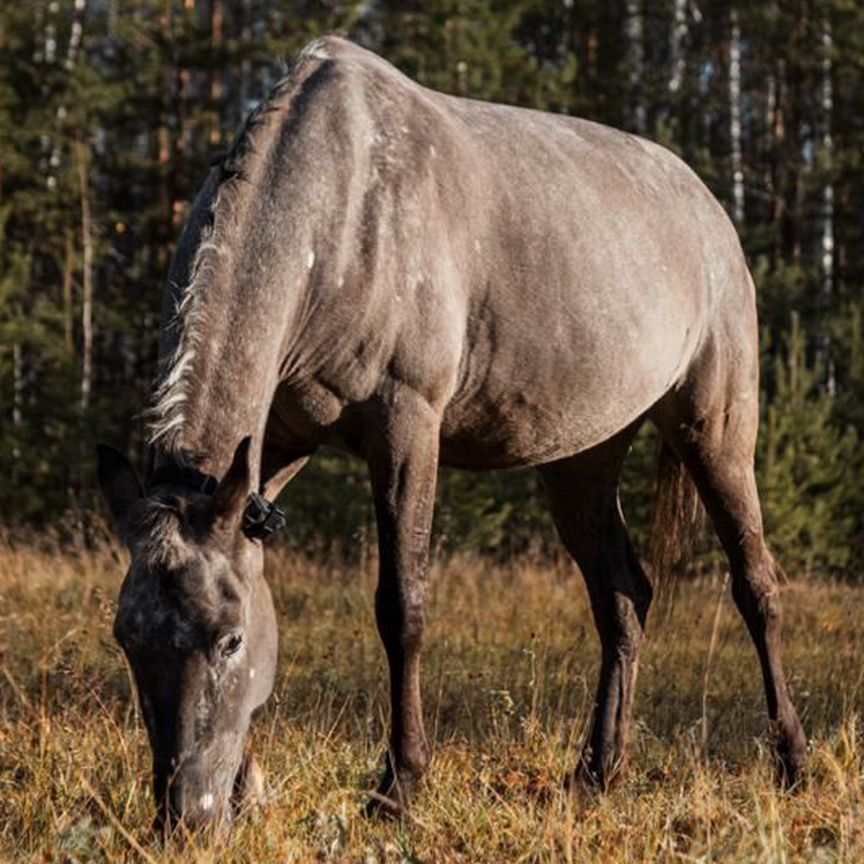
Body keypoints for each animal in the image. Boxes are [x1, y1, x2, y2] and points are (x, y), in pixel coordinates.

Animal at [98, 35, 808, 836]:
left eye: (230, 639)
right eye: (127, 639)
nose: (184, 816)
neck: (339, 211)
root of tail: (709, 210)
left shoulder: (407, 425)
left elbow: (401, 607)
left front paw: (399, 786)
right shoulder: (273, 445)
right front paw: (252, 784)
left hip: (715, 427)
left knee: (755, 586)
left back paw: (792, 761)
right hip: (583, 462)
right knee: (623, 599)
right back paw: (596, 773)